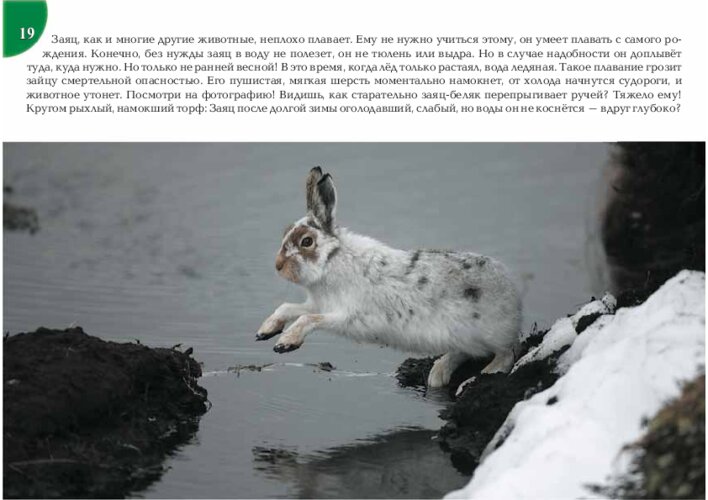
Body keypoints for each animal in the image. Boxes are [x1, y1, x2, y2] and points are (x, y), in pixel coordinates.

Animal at [256, 167, 522, 388]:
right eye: (285, 233)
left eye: (307, 242)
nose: (278, 266)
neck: (331, 260)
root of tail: (514, 298)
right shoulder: (318, 303)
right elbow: (288, 307)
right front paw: (266, 331)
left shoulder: (346, 315)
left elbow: (308, 319)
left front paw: (285, 342)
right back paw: (438, 374)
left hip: (488, 334)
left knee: (506, 353)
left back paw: (485, 373)